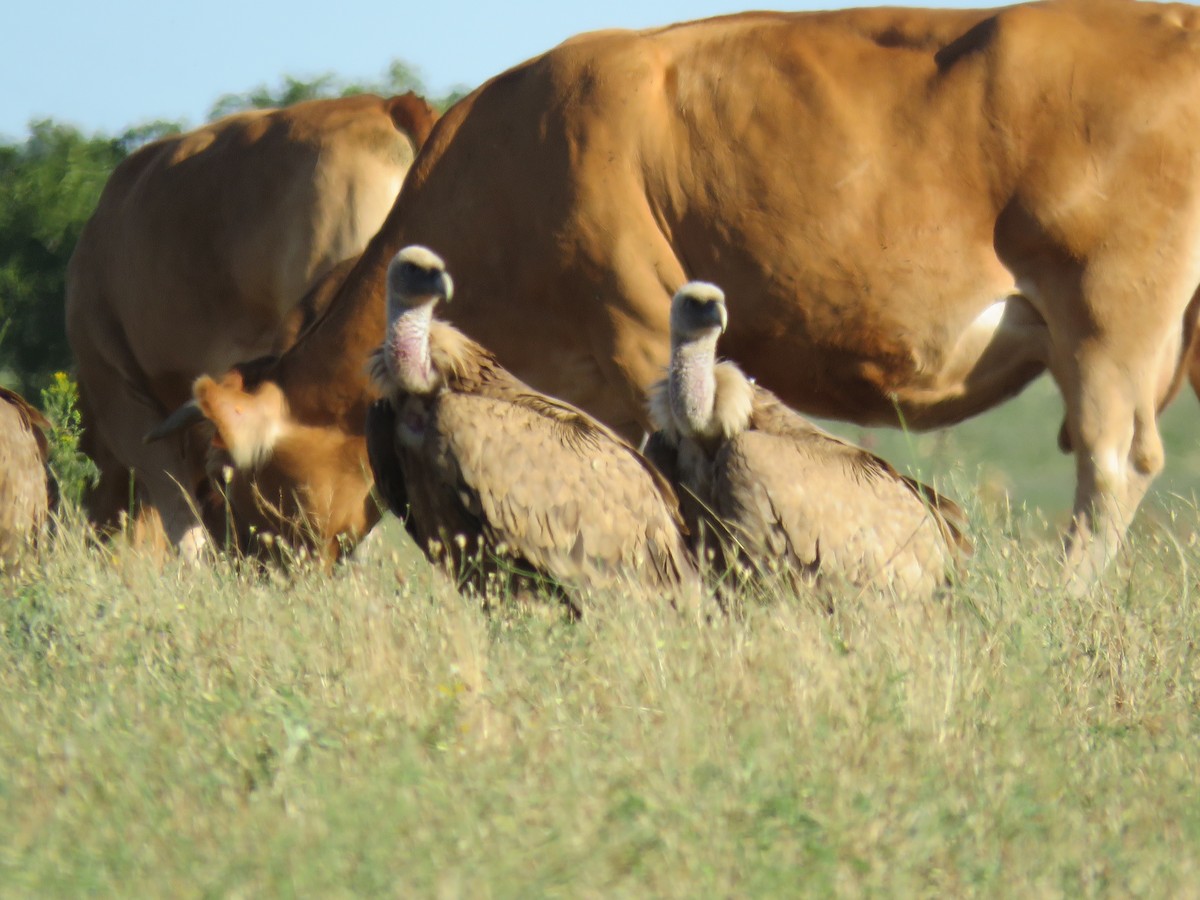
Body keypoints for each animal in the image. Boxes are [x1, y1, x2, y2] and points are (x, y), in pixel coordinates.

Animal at [182, 1, 1200, 592]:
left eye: (237, 481)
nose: (254, 582)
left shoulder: (644, 340)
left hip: (1112, 308)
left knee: (1113, 462)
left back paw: (1059, 600)